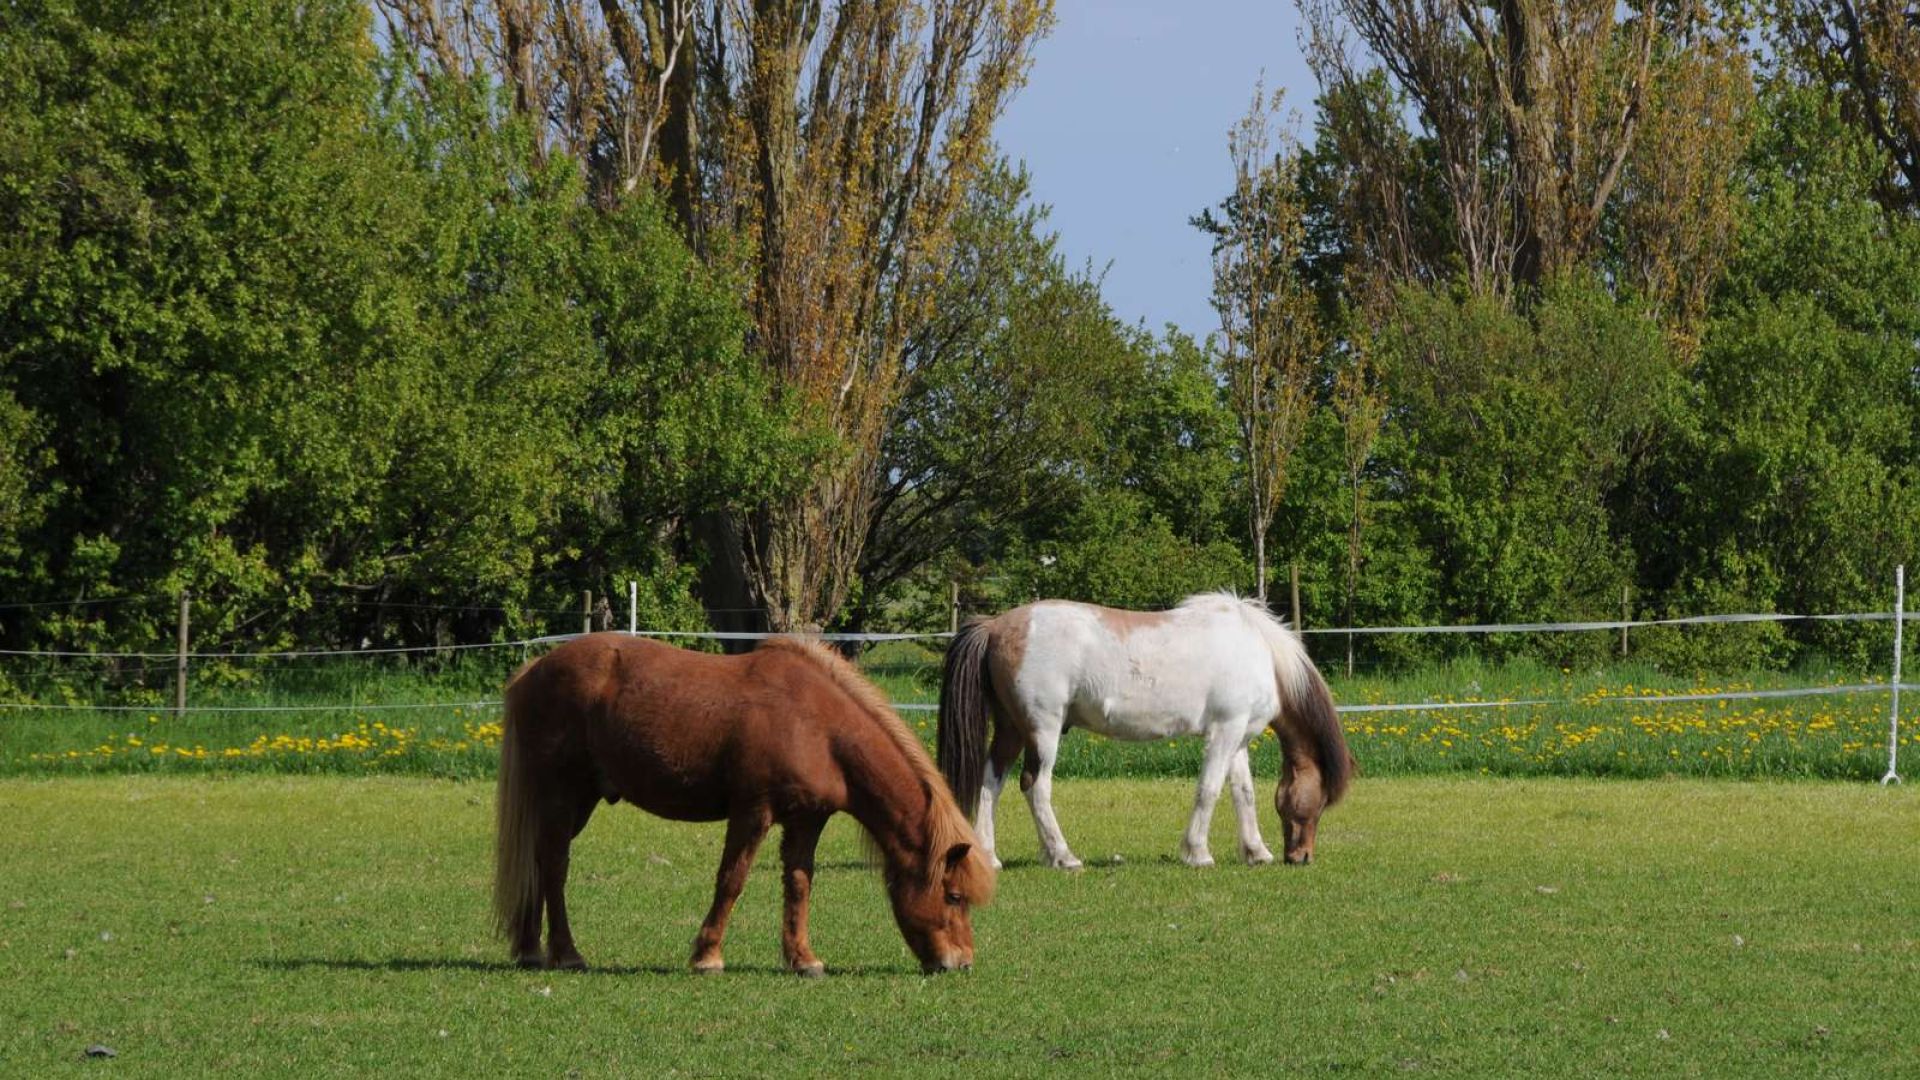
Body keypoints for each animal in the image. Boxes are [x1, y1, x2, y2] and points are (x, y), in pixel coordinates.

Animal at [495, 630, 990, 976]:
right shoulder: (753, 811)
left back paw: (530, 949)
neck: (817, 726)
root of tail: (533, 670)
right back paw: (566, 953)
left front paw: (802, 959)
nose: (961, 962)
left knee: (539, 860)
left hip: (580, 799)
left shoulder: (807, 820)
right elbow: (732, 880)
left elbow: (799, 884)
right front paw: (707, 956)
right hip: (562, 793)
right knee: (554, 865)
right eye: (953, 895)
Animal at [936, 591, 1359, 868]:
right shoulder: (1224, 731)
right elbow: (1209, 790)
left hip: (1011, 729)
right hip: (1043, 730)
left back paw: (990, 857)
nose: (1301, 857)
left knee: (991, 782)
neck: (1261, 653)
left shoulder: (1237, 736)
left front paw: (1256, 852)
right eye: (1321, 799)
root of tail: (995, 626)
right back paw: (1063, 856)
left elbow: (1243, 794)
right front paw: (1198, 853)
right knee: (1035, 786)